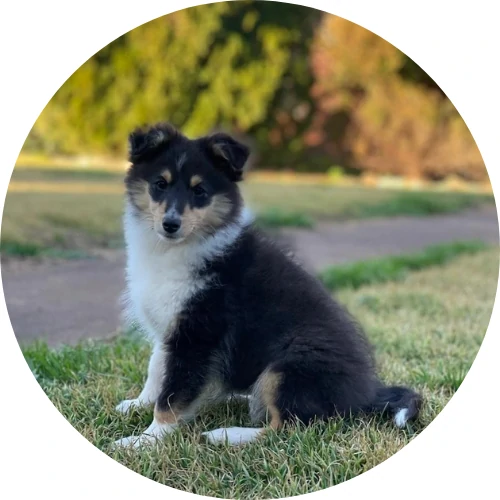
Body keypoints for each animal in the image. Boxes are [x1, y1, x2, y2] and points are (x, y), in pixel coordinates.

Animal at [113, 123, 422, 448]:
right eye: (160, 183)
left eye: (200, 191)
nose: (170, 225)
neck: (177, 249)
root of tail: (367, 395)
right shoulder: (171, 325)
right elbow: (157, 370)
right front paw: (137, 404)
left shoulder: (198, 333)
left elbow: (173, 395)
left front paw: (143, 440)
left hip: (287, 367)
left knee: (287, 426)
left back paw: (226, 434)